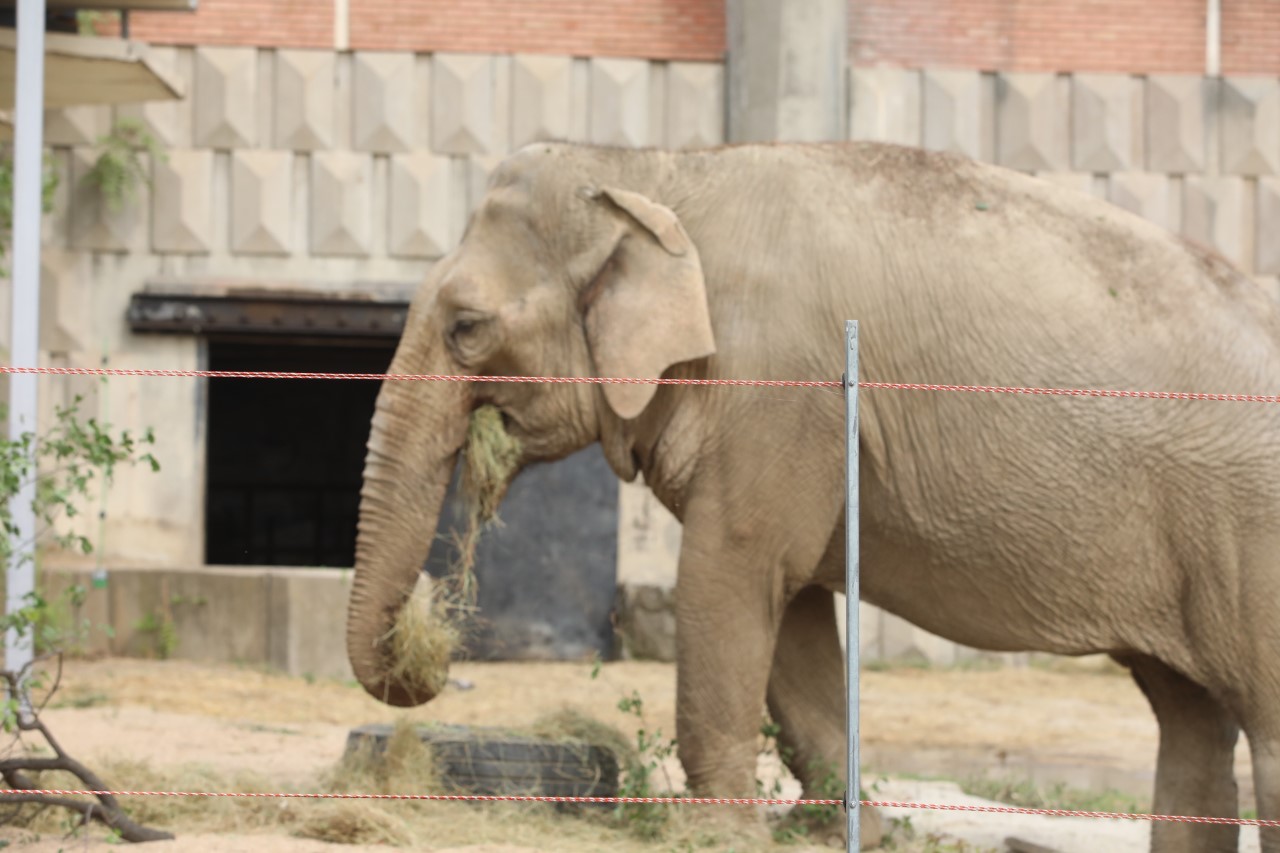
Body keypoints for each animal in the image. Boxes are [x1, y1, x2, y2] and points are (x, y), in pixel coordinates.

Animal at [345, 139, 1280, 850]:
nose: (437, 653)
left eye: (467, 327)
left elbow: (730, 577)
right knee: (1189, 718)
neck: (657, 172)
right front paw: (838, 830)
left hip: (1253, 532)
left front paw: (720, 837)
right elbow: (788, 615)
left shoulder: (781, 389)